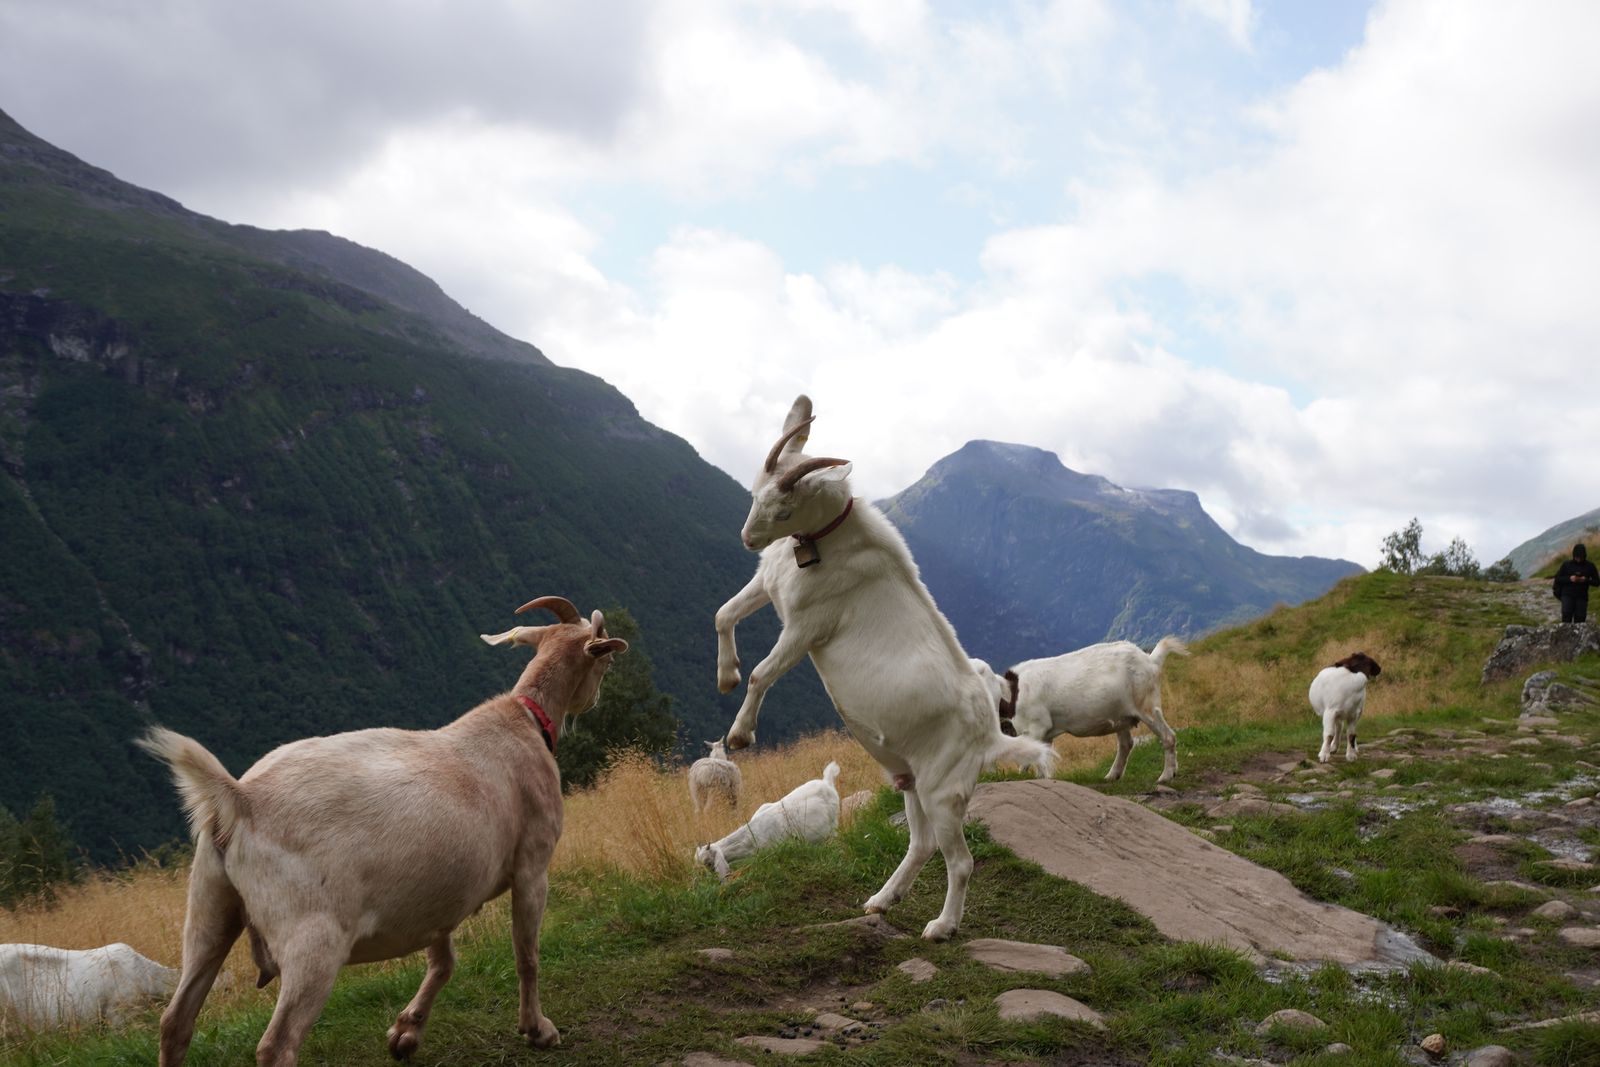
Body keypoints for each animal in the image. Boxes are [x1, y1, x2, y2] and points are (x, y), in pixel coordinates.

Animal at [137, 596, 627, 1067]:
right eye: (604, 662)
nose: (596, 699)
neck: (525, 721)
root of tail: (240, 799)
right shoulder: (532, 866)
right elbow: (527, 955)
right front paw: (538, 1029)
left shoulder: (440, 894)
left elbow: (444, 962)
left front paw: (406, 1033)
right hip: (313, 937)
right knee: (276, 1046)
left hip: (209, 908)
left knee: (175, 1022)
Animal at [714, 395, 1055, 940]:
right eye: (753, 492)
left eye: (784, 508)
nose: (748, 538)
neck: (828, 543)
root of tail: (989, 737)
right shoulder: (769, 585)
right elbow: (723, 614)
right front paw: (724, 676)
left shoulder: (809, 626)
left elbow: (764, 672)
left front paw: (741, 735)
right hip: (909, 779)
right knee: (922, 844)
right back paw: (881, 900)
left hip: (942, 789)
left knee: (959, 860)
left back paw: (942, 926)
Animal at [1005, 636, 1188, 783]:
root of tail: (1150, 660)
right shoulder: (1045, 733)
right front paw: (1042, 777)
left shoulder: (1036, 726)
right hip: (1122, 715)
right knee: (1126, 744)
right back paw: (1112, 775)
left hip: (1146, 705)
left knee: (1168, 736)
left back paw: (1166, 776)